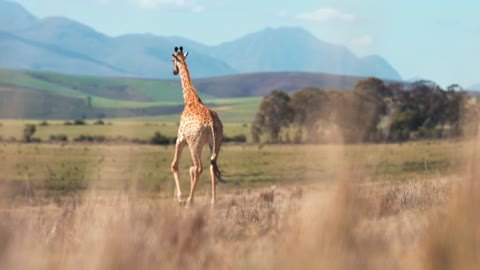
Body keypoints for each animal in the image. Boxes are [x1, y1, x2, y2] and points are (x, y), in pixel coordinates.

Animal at [170, 46, 224, 207]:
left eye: (172, 60)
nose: (174, 71)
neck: (190, 99)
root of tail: (211, 123)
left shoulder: (181, 139)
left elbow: (174, 165)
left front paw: (181, 198)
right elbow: (190, 169)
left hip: (195, 144)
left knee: (199, 167)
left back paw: (188, 202)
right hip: (216, 143)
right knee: (212, 166)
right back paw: (213, 201)